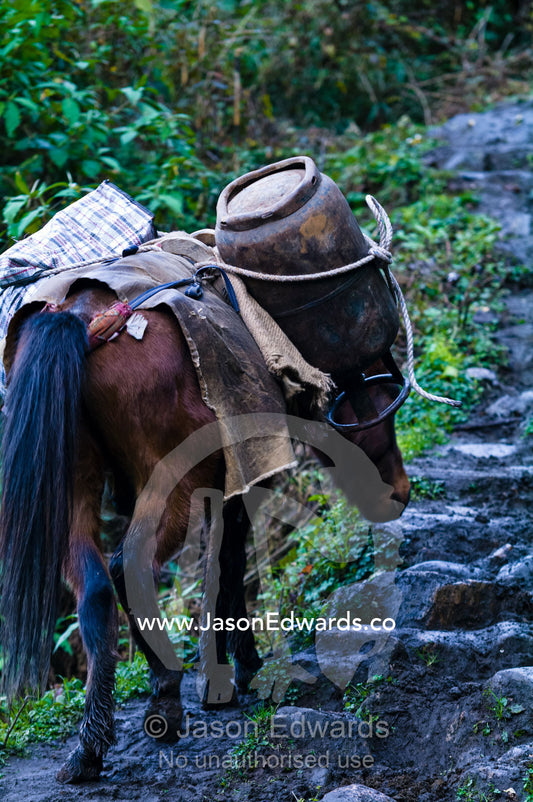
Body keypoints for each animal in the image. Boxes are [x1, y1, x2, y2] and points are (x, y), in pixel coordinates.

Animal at [0, 277, 410, 784]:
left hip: (74, 481)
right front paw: (238, 667)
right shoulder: (238, 482)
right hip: (172, 483)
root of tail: (80, 319)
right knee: (129, 567)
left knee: (95, 591)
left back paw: (93, 742)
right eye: (379, 408)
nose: (400, 493)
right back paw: (164, 696)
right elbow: (227, 566)